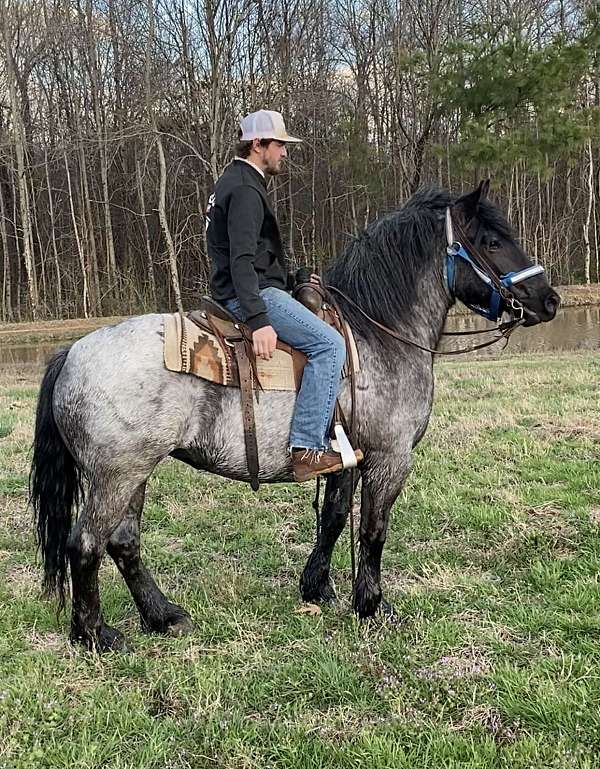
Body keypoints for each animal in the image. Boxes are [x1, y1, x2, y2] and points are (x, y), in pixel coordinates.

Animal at [30, 181, 560, 651]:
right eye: (493, 241)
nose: (549, 299)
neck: (378, 334)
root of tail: (73, 352)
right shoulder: (390, 459)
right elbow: (373, 530)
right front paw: (373, 605)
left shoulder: (348, 458)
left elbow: (334, 518)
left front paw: (318, 588)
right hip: (116, 476)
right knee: (86, 544)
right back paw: (94, 634)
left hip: (132, 475)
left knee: (123, 543)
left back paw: (162, 616)